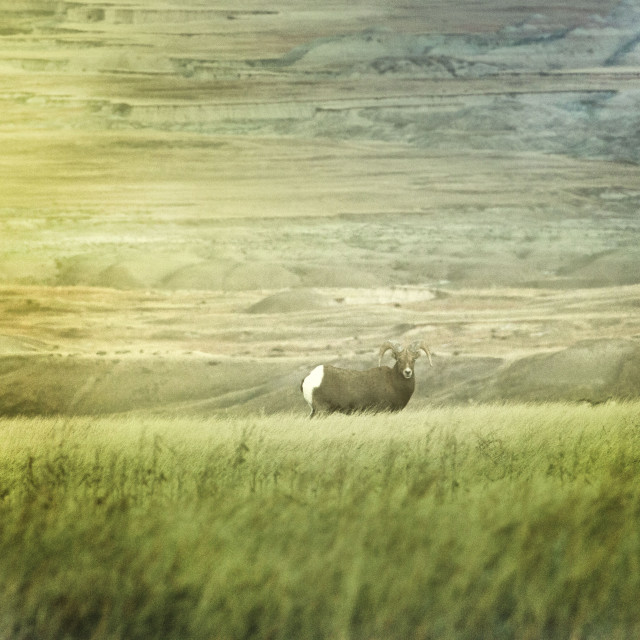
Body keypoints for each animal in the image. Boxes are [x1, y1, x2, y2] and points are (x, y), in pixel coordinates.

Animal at [302, 338, 432, 418]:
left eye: (413, 360)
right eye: (399, 360)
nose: (407, 372)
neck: (392, 382)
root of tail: (308, 378)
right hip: (321, 411)